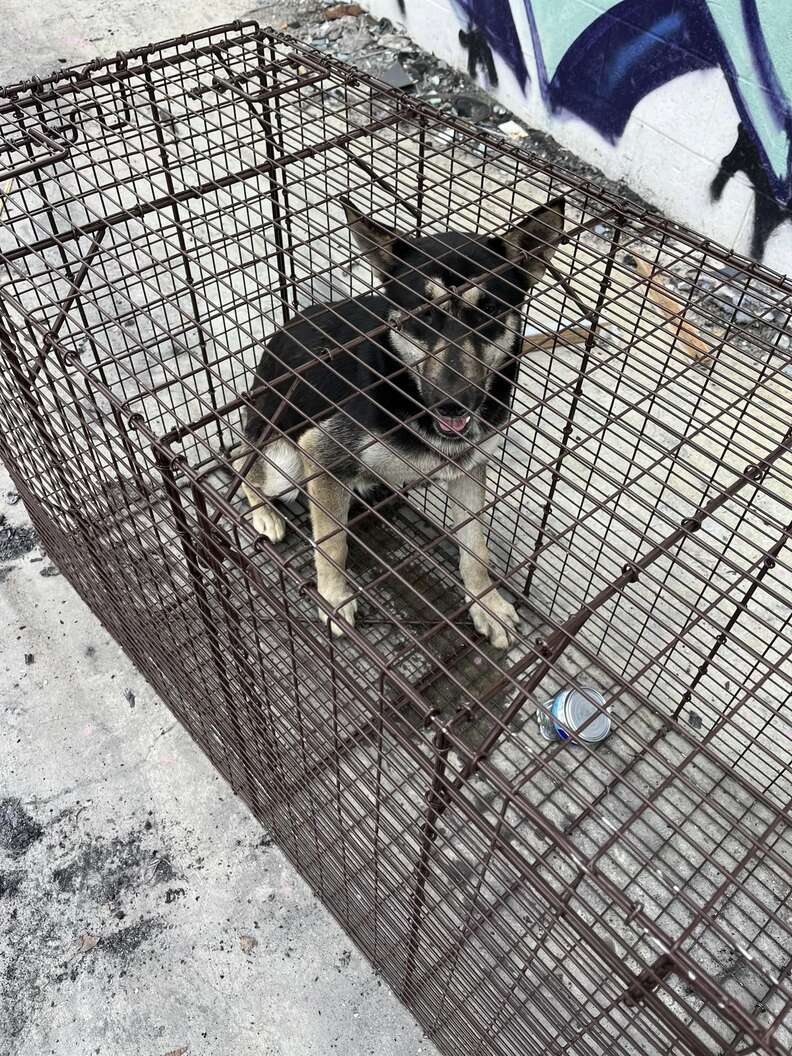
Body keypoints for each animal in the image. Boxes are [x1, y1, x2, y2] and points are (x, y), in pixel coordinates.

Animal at [238, 194, 566, 646]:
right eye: (422, 312)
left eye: (490, 310)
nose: (453, 404)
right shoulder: (320, 452)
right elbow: (332, 544)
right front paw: (334, 597)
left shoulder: (469, 469)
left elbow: (475, 548)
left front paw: (487, 603)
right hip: (283, 462)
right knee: (243, 464)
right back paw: (265, 512)